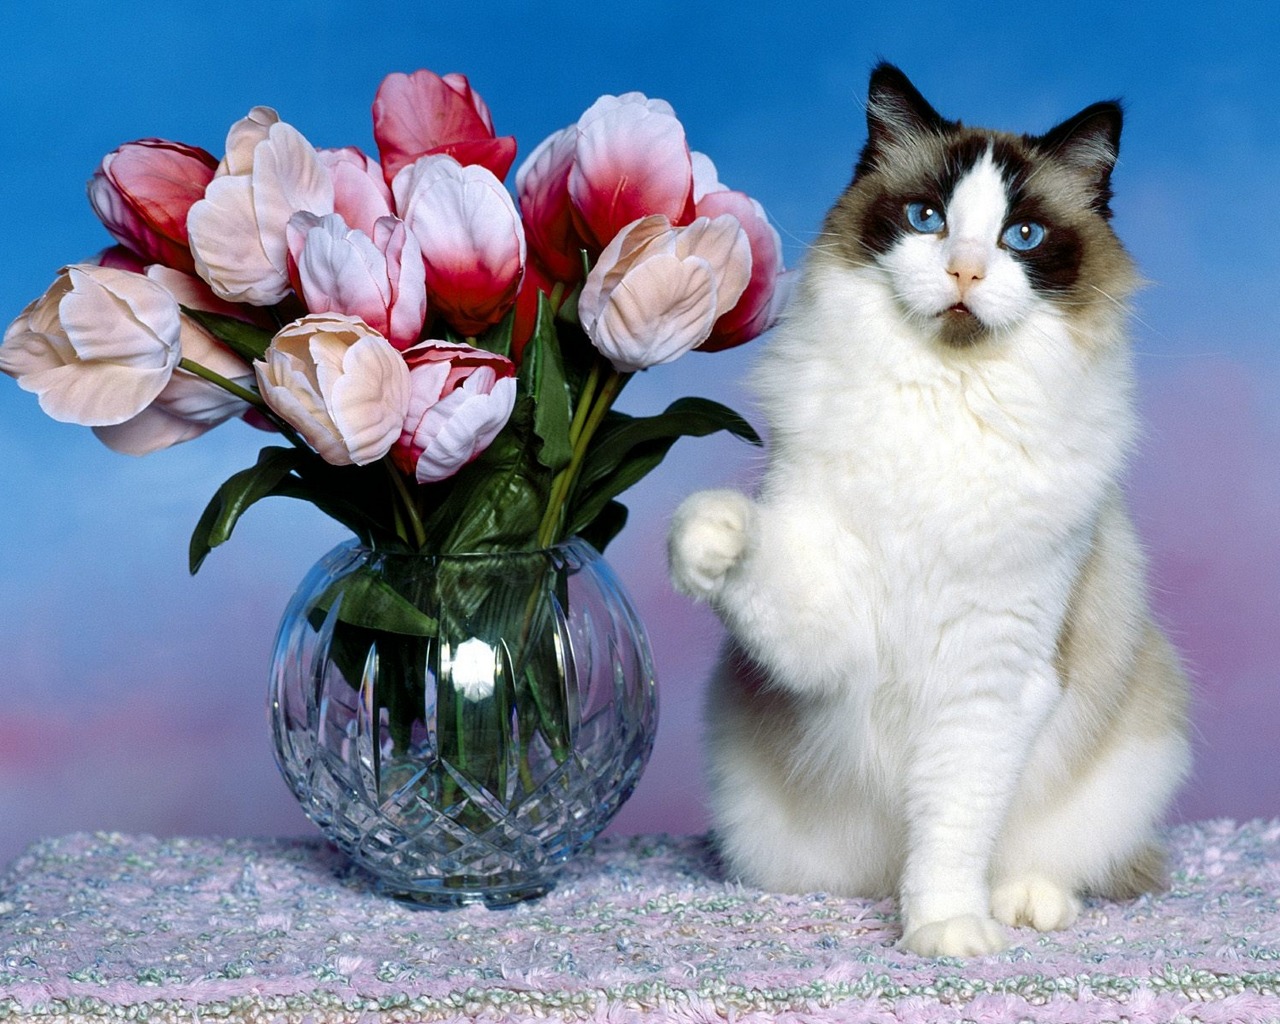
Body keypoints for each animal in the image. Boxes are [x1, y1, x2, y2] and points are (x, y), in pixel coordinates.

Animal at [670, 65, 1187, 962]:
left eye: (1021, 236)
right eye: (927, 221)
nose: (966, 274)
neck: (946, 403)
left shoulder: (990, 679)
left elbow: (949, 828)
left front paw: (943, 929)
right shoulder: (832, 629)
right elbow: (752, 552)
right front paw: (708, 539)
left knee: (1048, 858)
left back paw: (1021, 903)